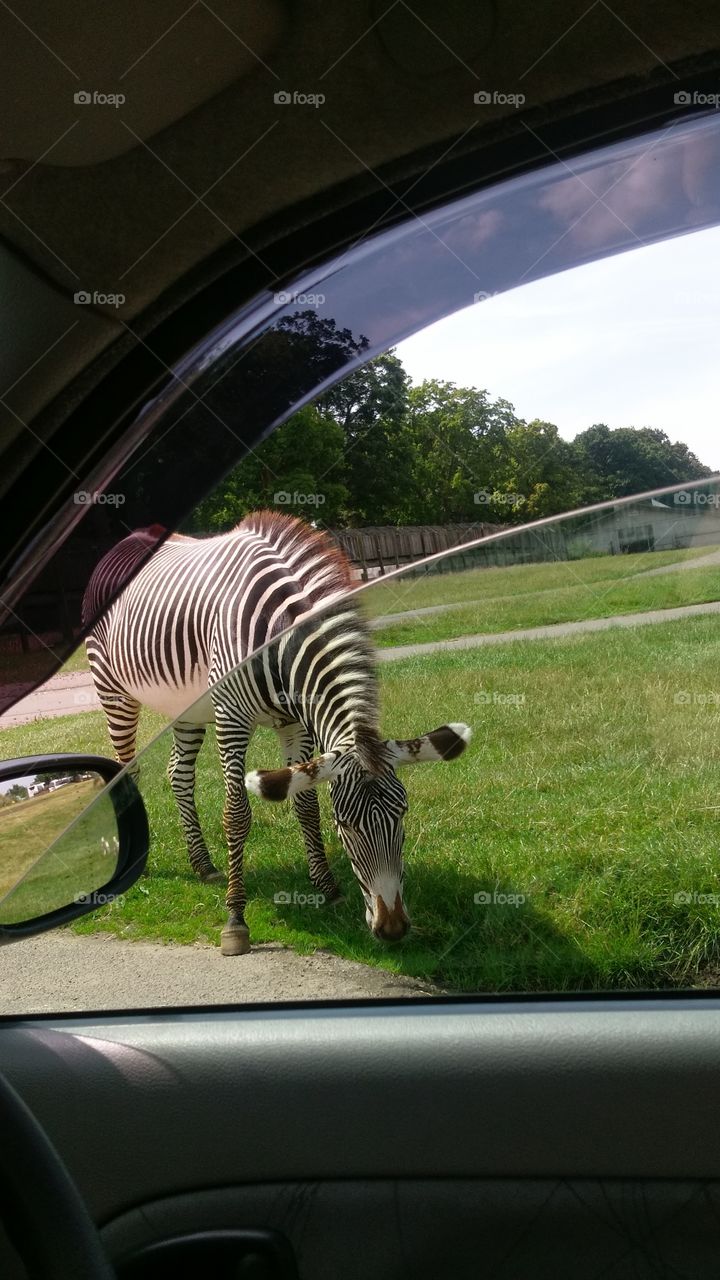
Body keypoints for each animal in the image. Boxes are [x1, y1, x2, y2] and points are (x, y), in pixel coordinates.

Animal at [83, 512, 472, 955]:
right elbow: (237, 814)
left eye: (402, 813)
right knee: (126, 768)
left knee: (178, 775)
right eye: (345, 824)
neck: (278, 639)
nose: (392, 929)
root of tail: (125, 541)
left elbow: (304, 803)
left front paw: (327, 888)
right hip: (112, 689)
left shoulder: (296, 724)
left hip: (187, 705)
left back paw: (203, 864)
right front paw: (235, 919)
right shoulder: (231, 717)